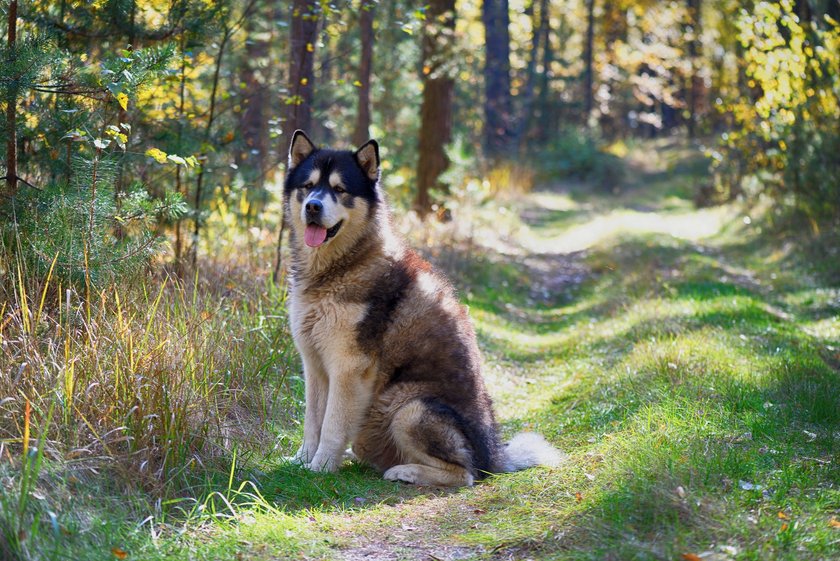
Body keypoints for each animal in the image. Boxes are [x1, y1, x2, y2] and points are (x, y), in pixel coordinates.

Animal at [284, 131, 564, 486]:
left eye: (339, 189)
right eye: (308, 186)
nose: (313, 206)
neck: (339, 268)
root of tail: (494, 458)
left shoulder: (347, 367)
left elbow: (332, 425)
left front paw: (320, 467)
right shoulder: (314, 363)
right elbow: (312, 421)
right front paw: (301, 461)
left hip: (408, 407)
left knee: (464, 473)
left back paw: (405, 471)